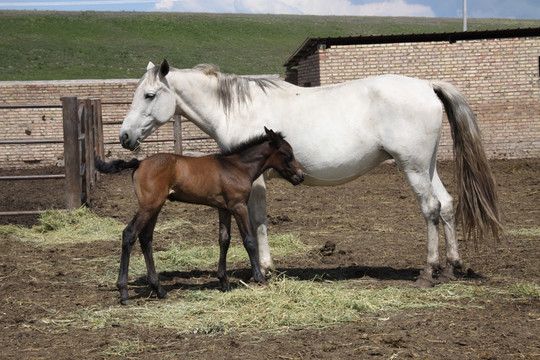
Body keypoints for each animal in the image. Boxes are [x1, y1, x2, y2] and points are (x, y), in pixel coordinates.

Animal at [96, 126, 304, 304]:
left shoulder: (224, 208)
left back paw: (159, 290)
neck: (237, 166)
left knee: (146, 238)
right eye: (287, 154)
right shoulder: (239, 206)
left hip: (155, 206)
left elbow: (224, 240)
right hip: (149, 205)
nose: (300, 176)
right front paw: (260, 278)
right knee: (129, 234)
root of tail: (139, 163)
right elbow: (249, 240)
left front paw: (224, 283)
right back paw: (124, 293)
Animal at [118, 59, 502, 286]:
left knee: (431, 209)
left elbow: (258, 223)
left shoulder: (257, 181)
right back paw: (451, 267)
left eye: (149, 95)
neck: (237, 109)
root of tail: (426, 85)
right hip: (427, 165)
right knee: (447, 205)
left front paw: (265, 269)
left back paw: (427, 272)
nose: (124, 137)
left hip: (413, 167)